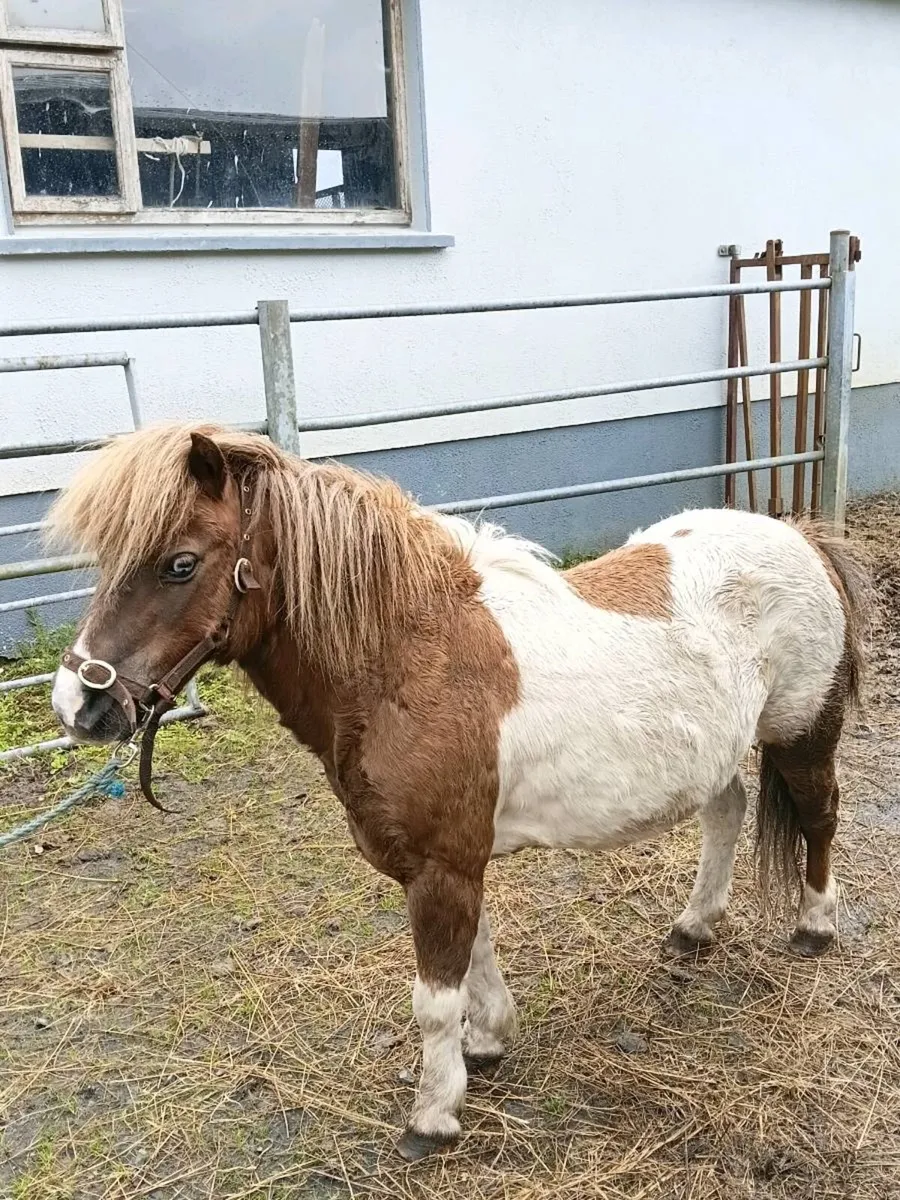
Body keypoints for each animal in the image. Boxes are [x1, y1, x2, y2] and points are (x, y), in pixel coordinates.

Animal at [48, 422, 870, 1160]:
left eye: (180, 564)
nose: (78, 705)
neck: (408, 663)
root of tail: (802, 538)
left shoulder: (442, 867)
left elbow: (435, 999)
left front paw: (433, 1116)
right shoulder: (445, 863)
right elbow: (475, 957)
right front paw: (489, 1043)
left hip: (802, 733)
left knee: (822, 816)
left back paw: (815, 926)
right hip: (718, 753)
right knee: (728, 813)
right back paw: (694, 926)